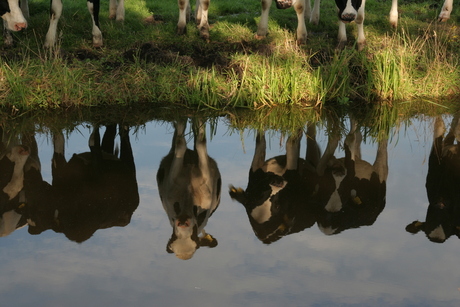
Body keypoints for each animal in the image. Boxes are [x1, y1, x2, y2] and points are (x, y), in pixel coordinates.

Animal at [156, 119, 221, 262]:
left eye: (195, 240)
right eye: (174, 237)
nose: (183, 223)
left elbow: (200, 142)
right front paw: (181, 121)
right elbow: (180, 143)